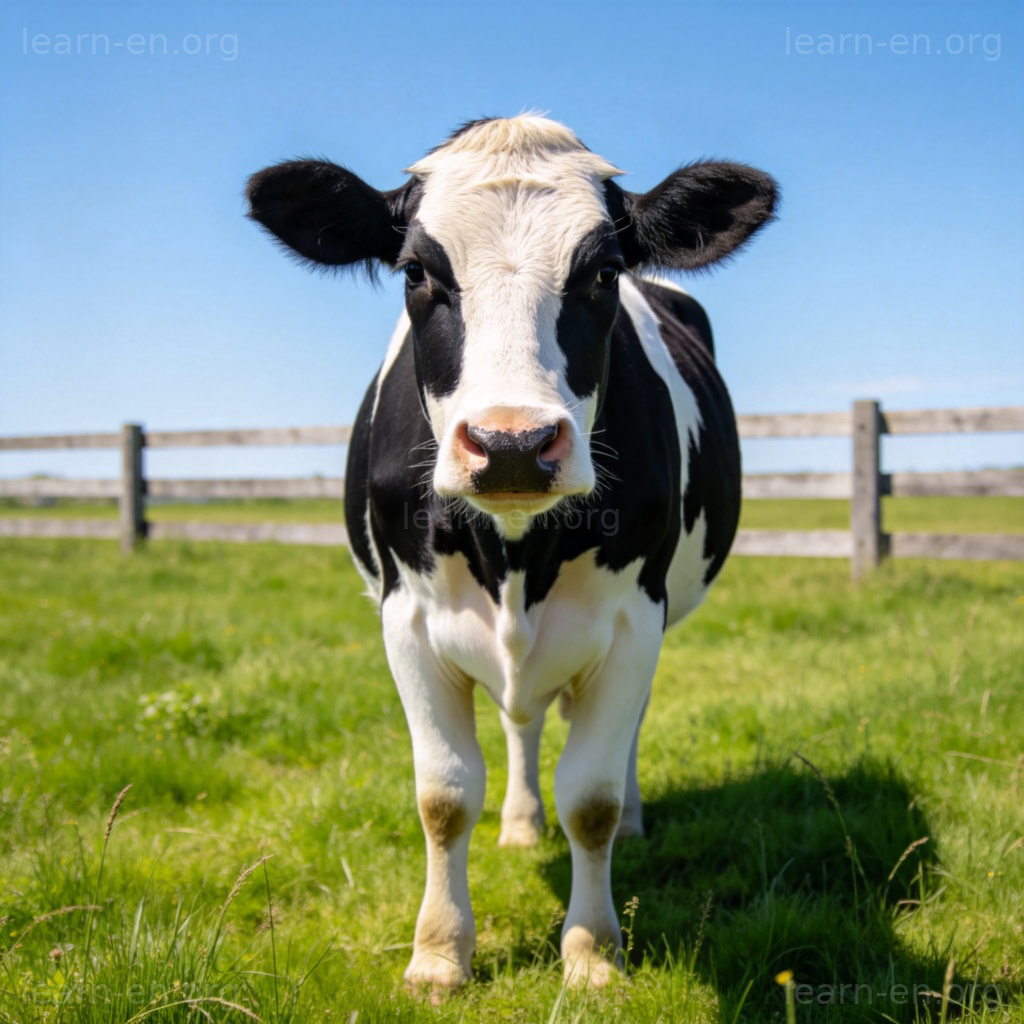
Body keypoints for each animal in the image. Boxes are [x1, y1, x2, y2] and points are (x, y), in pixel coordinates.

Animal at [246, 115, 777, 991]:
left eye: (603, 272)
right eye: (417, 271)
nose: (513, 445)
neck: (519, 552)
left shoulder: (635, 618)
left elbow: (590, 797)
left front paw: (593, 953)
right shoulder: (407, 618)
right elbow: (444, 795)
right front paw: (438, 954)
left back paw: (632, 821)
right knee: (520, 724)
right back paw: (523, 823)